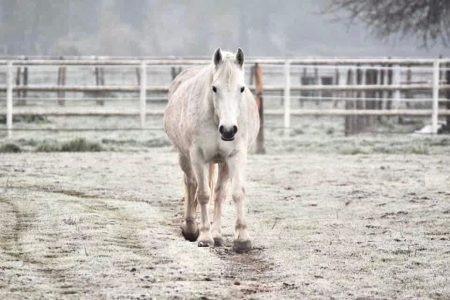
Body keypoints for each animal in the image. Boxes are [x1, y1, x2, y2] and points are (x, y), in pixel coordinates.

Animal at [163, 48, 258, 253]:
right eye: (214, 88)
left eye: (242, 88)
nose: (228, 130)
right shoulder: (198, 157)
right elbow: (203, 194)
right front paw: (205, 237)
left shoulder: (235, 156)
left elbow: (236, 192)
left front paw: (242, 239)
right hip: (185, 158)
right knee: (191, 184)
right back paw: (191, 228)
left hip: (222, 163)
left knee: (219, 193)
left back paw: (217, 234)